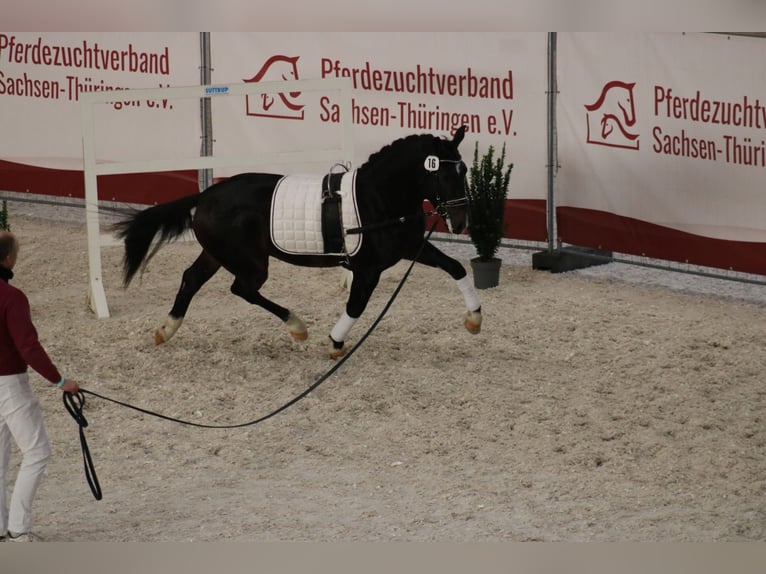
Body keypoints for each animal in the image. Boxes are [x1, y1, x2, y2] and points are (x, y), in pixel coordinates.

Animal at [112, 125, 483, 359]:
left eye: (464, 171)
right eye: (444, 173)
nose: (462, 222)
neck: (378, 199)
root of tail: (206, 195)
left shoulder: (408, 248)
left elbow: (456, 267)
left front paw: (475, 319)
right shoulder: (368, 268)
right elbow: (356, 305)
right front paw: (335, 344)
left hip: (217, 254)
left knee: (191, 279)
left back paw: (165, 330)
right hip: (250, 262)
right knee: (242, 289)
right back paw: (297, 327)